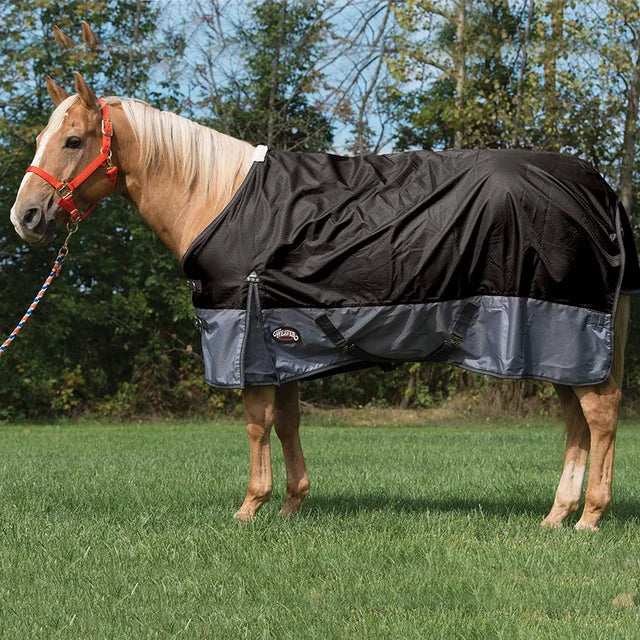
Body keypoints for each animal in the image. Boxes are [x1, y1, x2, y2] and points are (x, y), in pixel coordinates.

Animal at [10, 60, 634, 531]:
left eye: (73, 139)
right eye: (41, 138)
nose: (26, 217)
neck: (219, 199)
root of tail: (600, 192)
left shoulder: (246, 335)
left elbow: (257, 423)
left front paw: (249, 508)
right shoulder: (279, 339)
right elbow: (287, 422)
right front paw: (290, 504)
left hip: (566, 330)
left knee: (600, 416)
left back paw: (589, 518)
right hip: (556, 343)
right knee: (577, 422)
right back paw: (557, 515)